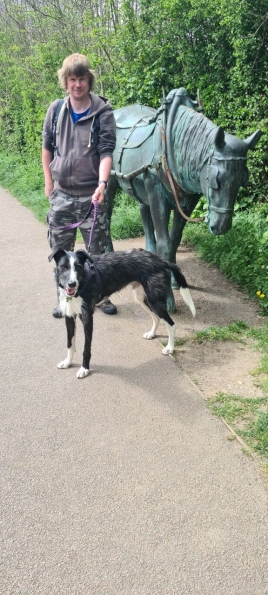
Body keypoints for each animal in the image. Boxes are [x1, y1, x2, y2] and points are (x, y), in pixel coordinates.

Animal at [49, 249, 195, 380]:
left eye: (78, 267)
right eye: (63, 267)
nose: (72, 284)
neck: (82, 282)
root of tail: (161, 260)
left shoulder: (87, 318)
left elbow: (86, 348)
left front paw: (84, 369)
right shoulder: (69, 316)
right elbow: (70, 344)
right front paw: (67, 362)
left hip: (155, 301)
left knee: (171, 324)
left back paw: (169, 348)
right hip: (142, 298)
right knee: (156, 318)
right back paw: (152, 334)